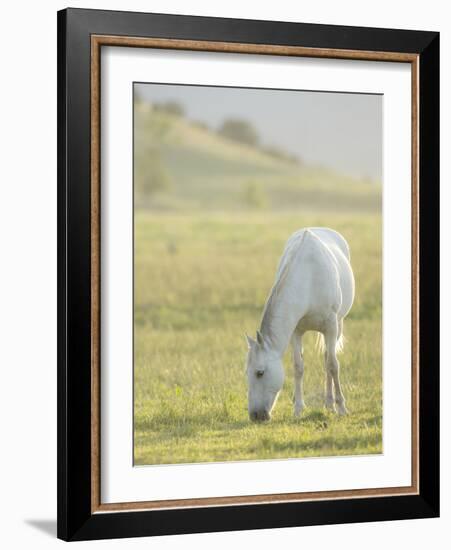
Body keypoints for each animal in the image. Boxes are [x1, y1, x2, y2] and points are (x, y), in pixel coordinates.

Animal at [245, 227, 354, 422]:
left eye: (260, 373)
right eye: (246, 373)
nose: (255, 415)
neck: (309, 278)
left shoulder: (331, 326)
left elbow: (333, 365)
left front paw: (341, 407)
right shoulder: (296, 331)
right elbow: (298, 367)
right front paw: (297, 409)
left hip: (338, 325)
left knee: (328, 359)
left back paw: (330, 404)